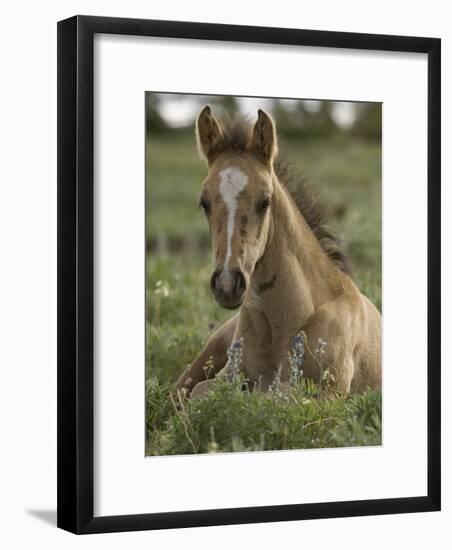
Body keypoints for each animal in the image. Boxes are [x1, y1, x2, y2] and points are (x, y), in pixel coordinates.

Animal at [177, 105, 382, 398]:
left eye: (265, 201)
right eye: (204, 203)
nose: (227, 284)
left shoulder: (329, 394)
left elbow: (277, 396)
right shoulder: (227, 375)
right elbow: (201, 393)